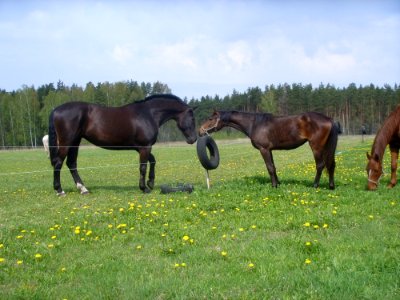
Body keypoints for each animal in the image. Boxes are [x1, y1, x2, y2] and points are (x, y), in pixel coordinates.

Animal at [49, 94, 198, 197]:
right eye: (192, 118)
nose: (193, 139)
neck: (148, 114)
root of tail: (56, 110)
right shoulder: (145, 147)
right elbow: (143, 167)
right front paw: (144, 188)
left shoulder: (141, 148)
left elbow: (153, 161)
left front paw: (150, 182)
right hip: (67, 142)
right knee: (58, 163)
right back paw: (60, 190)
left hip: (75, 142)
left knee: (71, 164)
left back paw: (83, 189)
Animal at [199, 110, 338, 189]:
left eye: (210, 119)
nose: (200, 131)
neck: (254, 124)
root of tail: (329, 119)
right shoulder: (269, 150)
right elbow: (273, 167)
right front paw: (278, 184)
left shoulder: (264, 149)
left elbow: (269, 167)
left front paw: (274, 186)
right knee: (331, 165)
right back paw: (331, 186)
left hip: (316, 147)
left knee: (320, 165)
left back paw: (315, 185)